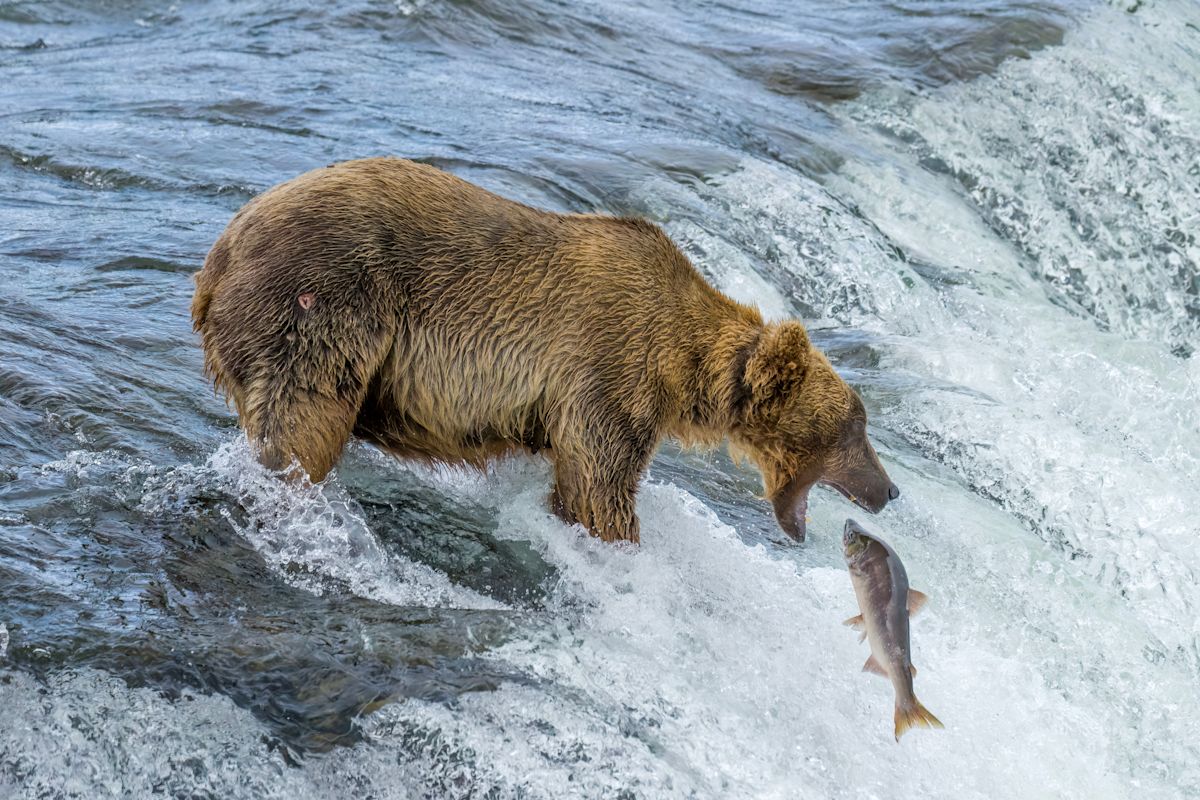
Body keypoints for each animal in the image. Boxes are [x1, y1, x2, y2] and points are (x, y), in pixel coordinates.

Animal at [191, 157, 898, 543]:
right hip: (323, 305)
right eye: (854, 427)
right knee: (304, 416)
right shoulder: (609, 369)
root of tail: (216, 257)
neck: (685, 367)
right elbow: (598, 483)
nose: (890, 491)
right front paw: (616, 540)